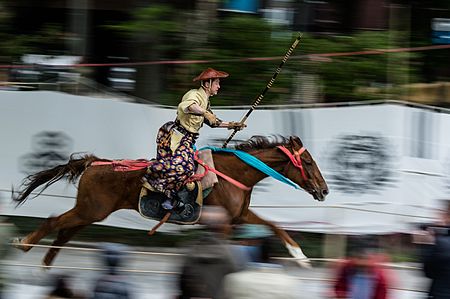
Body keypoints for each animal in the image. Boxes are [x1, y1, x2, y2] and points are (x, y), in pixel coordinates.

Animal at [11, 136, 326, 268]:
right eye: (309, 162)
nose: (324, 190)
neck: (232, 173)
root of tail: (94, 162)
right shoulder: (225, 223)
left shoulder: (240, 216)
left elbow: (274, 225)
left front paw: (300, 256)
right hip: (91, 209)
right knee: (54, 222)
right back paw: (24, 243)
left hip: (90, 211)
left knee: (64, 232)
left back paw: (45, 265)